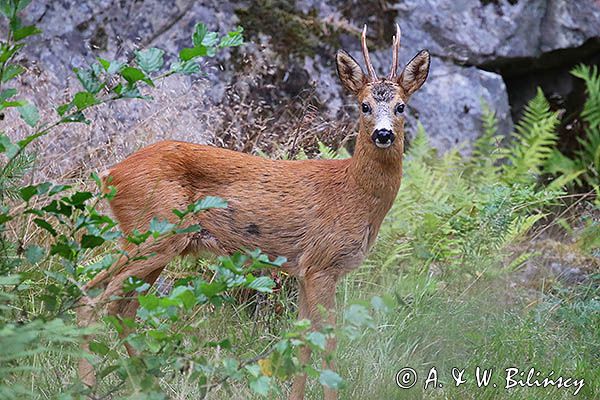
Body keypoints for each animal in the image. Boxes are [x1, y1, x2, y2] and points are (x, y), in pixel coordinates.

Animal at [77, 25, 428, 400]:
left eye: (401, 106)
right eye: (364, 105)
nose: (383, 134)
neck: (353, 193)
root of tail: (110, 174)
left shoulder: (302, 269)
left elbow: (302, 337)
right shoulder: (322, 263)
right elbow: (327, 340)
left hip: (158, 243)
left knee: (122, 307)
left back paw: (146, 383)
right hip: (153, 233)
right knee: (93, 299)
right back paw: (88, 385)